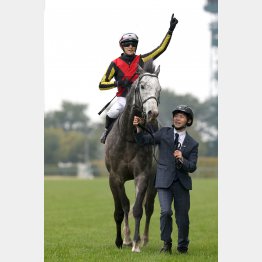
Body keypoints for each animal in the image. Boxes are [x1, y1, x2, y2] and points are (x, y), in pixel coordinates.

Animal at [104, 60, 161, 253]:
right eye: (142, 86)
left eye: (159, 89)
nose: (152, 113)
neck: (129, 136)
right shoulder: (115, 177)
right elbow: (122, 209)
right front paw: (122, 240)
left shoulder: (142, 175)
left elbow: (137, 209)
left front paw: (135, 243)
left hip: (154, 179)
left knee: (148, 207)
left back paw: (144, 239)